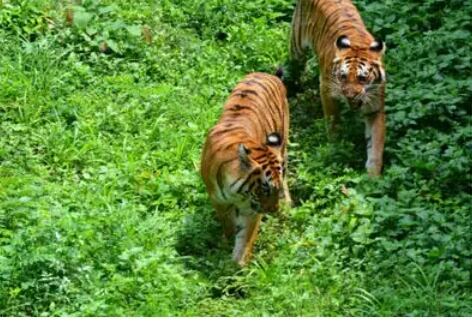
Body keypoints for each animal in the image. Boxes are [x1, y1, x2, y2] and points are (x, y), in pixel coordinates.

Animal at [200, 70, 290, 266]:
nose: (274, 210)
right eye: (265, 189)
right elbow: (229, 227)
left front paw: (238, 265)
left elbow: (245, 238)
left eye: (274, 189)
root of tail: (267, 74)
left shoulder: (251, 208)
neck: (237, 192)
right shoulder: (219, 201)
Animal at [290, 0, 386, 176]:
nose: (350, 95)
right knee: (293, 66)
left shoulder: (375, 107)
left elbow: (376, 142)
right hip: (296, 45)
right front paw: (335, 149)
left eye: (362, 78)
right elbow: (333, 122)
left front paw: (373, 177)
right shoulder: (327, 91)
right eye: (343, 77)